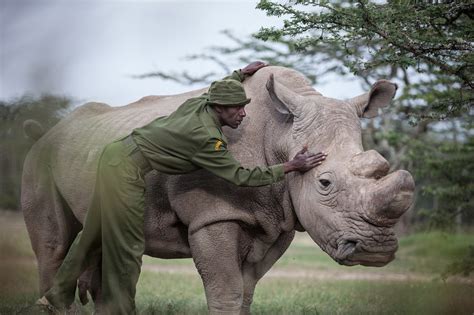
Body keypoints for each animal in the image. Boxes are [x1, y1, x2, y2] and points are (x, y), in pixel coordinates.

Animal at [22, 65, 414, 314]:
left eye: (381, 165)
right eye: (325, 183)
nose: (376, 250)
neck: (281, 132)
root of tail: (47, 131)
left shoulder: (278, 219)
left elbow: (245, 292)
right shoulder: (214, 215)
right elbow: (225, 290)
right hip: (42, 158)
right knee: (55, 244)